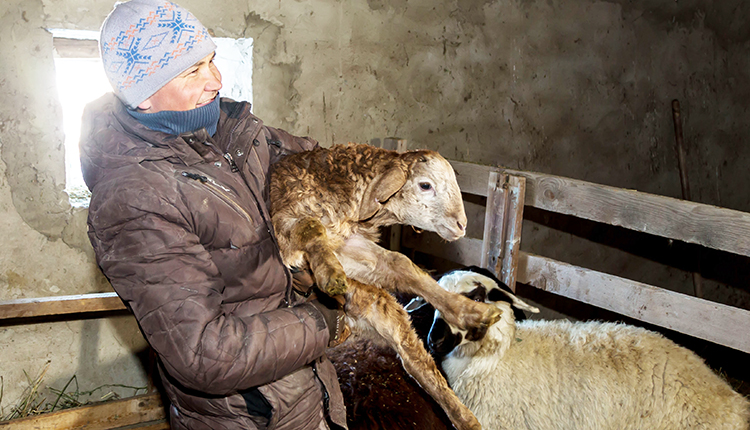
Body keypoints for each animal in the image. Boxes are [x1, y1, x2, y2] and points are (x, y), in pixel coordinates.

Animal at [268, 144, 502, 430]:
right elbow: (310, 226)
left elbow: (398, 263)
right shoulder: (285, 223)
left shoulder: (348, 243)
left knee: (415, 358)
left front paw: (469, 311)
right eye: (425, 185)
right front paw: (329, 272)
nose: (462, 225)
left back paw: (464, 415)